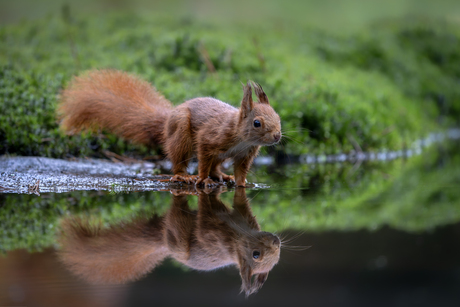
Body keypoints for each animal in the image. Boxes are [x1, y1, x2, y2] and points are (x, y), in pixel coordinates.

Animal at [57, 70, 280, 186]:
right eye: (257, 123)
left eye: (278, 117)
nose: (277, 136)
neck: (242, 139)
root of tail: (167, 120)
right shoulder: (210, 138)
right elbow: (203, 161)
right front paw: (202, 179)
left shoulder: (245, 154)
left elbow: (241, 170)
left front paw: (242, 184)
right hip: (181, 135)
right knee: (180, 159)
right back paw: (184, 176)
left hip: (218, 154)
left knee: (216, 166)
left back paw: (222, 176)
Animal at [57, 189, 280, 298]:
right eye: (256, 254)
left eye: (276, 259)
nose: (277, 241)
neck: (239, 234)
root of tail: (164, 241)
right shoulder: (220, 233)